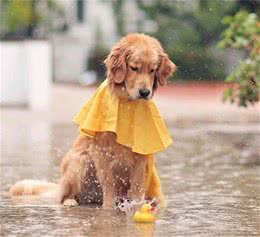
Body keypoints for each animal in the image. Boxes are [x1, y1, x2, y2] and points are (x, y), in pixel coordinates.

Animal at [10, 32, 177, 207]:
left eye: (152, 70)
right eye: (134, 68)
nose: (145, 92)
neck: (127, 103)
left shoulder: (140, 154)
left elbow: (137, 186)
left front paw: (135, 206)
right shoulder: (100, 151)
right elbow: (109, 184)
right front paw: (109, 209)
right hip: (79, 161)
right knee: (65, 196)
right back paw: (70, 201)